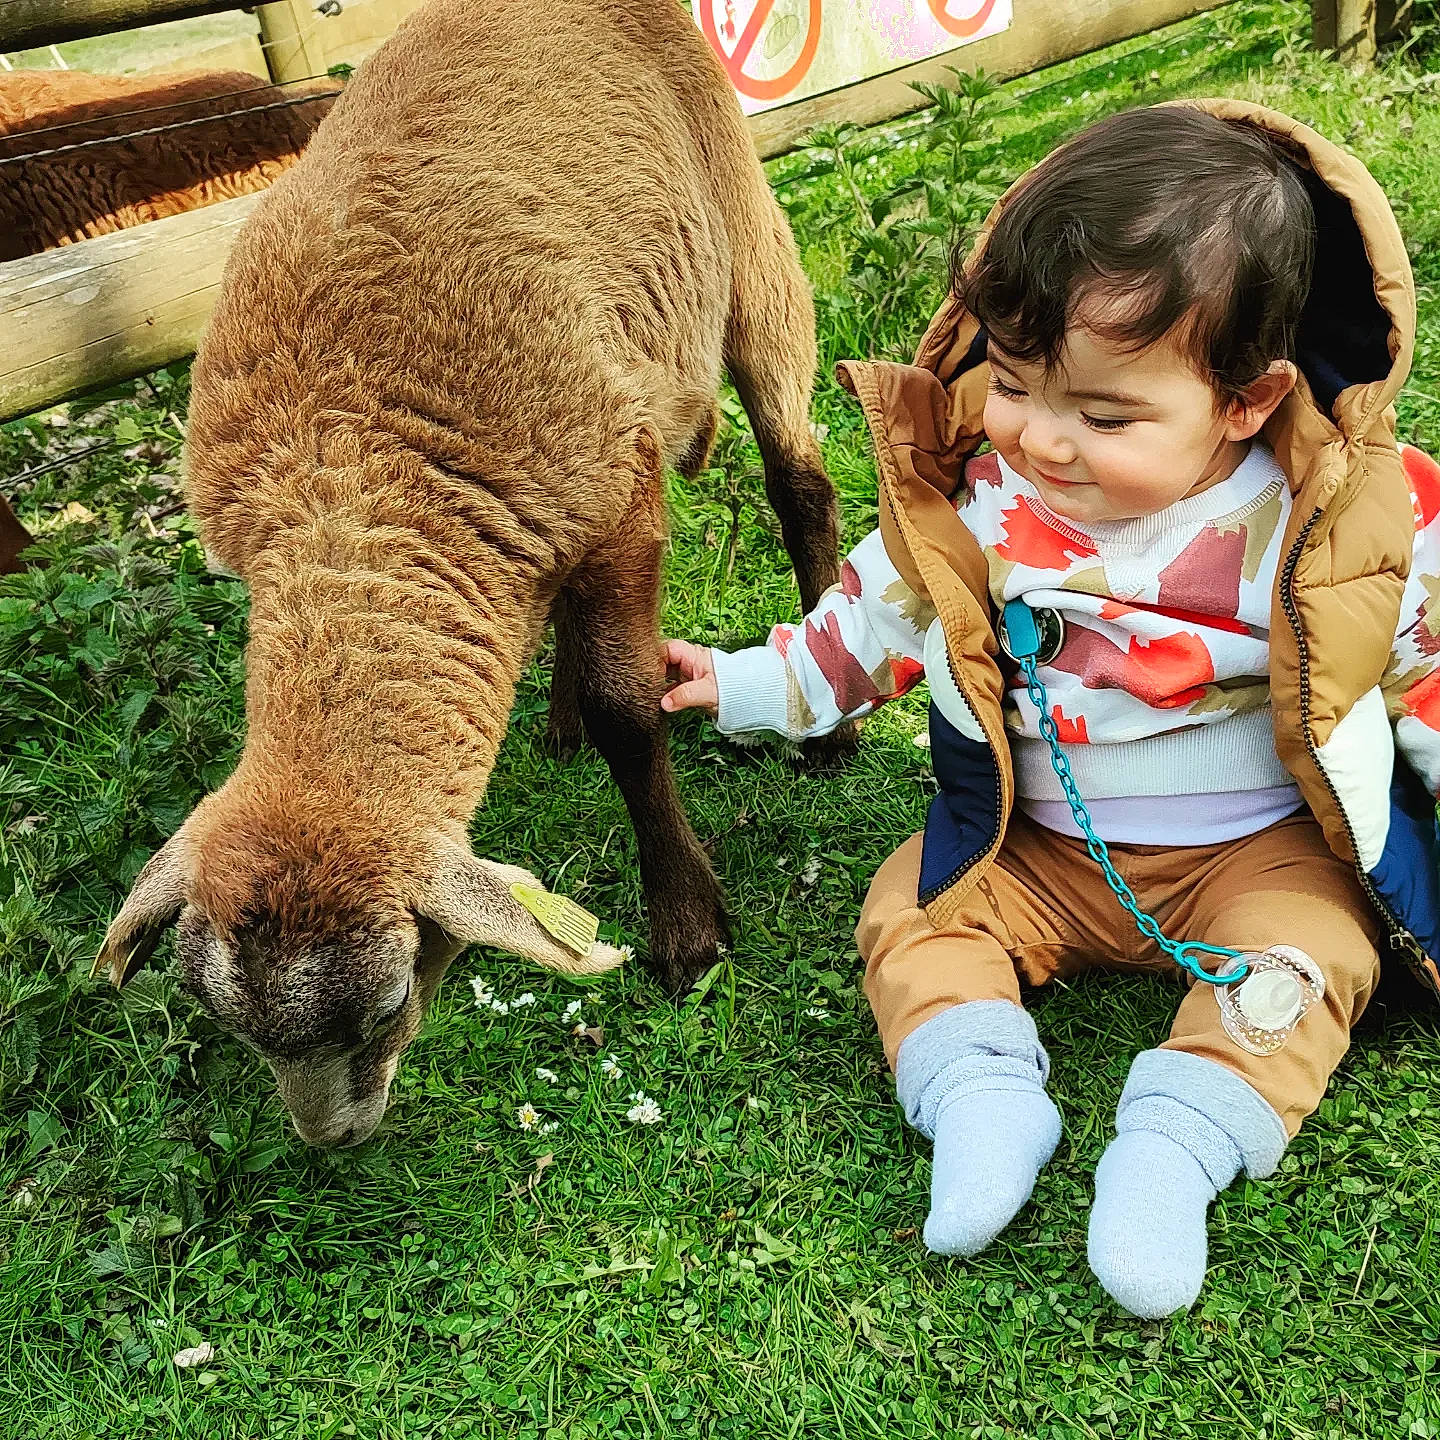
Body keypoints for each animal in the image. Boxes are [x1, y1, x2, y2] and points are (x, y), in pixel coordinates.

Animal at [95, 0, 840, 1147]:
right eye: (235, 1029)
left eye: (393, 1001)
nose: (333, 1142)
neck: (347, 479)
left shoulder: (618, 488)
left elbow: (632, 710)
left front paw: (685, 930)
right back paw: (559, 718)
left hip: (750, 243)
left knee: (798, 478)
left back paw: (826, 723)